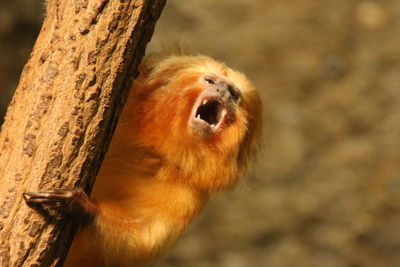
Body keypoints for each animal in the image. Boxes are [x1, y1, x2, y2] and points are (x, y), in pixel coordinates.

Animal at [25, 52, 262, 266]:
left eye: (234, 94)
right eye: (211, 81)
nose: (223, 92)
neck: (153, 150)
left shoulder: (188, 195)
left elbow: (141, 239)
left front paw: (80, 207)